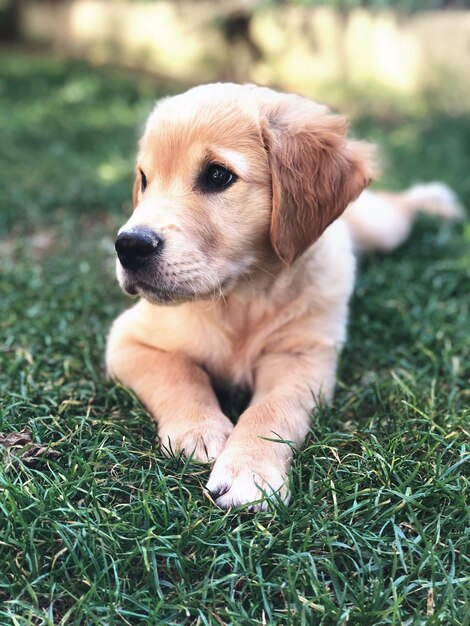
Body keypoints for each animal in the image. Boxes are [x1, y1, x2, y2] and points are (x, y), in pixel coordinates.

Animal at [106, 83, 462, 510]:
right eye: (144, 179)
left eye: (217, 175)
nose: (128, 246)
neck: (240, 297)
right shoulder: (127, 340)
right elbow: (178, 374)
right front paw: (198, 429)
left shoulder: (302, 356)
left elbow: (272, 408)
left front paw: (250, 471)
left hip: (383, 228)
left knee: (400, 204)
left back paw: (437, 202)